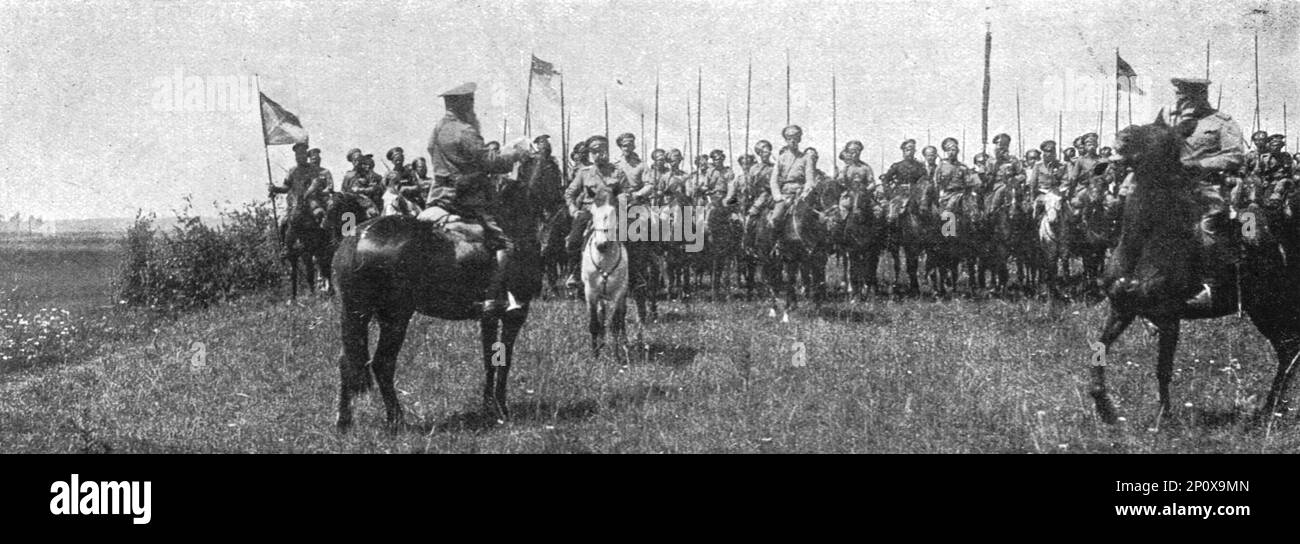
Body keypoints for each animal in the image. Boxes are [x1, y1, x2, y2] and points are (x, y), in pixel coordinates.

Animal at [330, 167, 548, 432]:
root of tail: (358, 238)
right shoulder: (514, 314)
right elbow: (502, 360)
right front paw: (500, 408)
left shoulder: (489, 317)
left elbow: (489, 358)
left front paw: (489, 407)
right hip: (396, 317)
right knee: (382, 363)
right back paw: (396, 420)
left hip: (356, 314)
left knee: (347, 362)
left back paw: (344, 421)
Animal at [587, 200, 631, 364]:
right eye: (592, 214)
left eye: (614, 213)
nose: (601, 244)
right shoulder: (591, 293)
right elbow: (594, 324)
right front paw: (595, 355)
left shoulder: (617, 294)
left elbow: (614, 325)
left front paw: (616, 356)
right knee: (602, 314)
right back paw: (601, 342)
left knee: (621, 317)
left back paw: (624, 344)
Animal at [1092, 121, 1294, 426]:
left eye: (1154, 132)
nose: (1121, 137)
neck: (1144, 242)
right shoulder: (1121, 309)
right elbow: (1099, 352)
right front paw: (1106, 410)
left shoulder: (1168, 318)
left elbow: (1163, 369)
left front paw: (1162, 418)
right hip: (1262, 310)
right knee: (1287, 351)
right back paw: (1269, 409)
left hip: (1274, 307)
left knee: (1290, 350)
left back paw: (1272, 409)